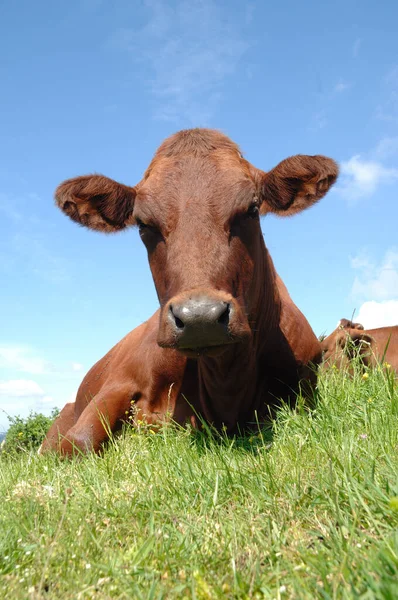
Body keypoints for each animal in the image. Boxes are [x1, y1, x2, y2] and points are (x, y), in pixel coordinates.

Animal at [41, 127, 338, 454]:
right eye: (143, 224)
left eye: (252, 210)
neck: (226, 388)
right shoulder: (118, 382)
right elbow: (77, 442)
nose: (200, 318)